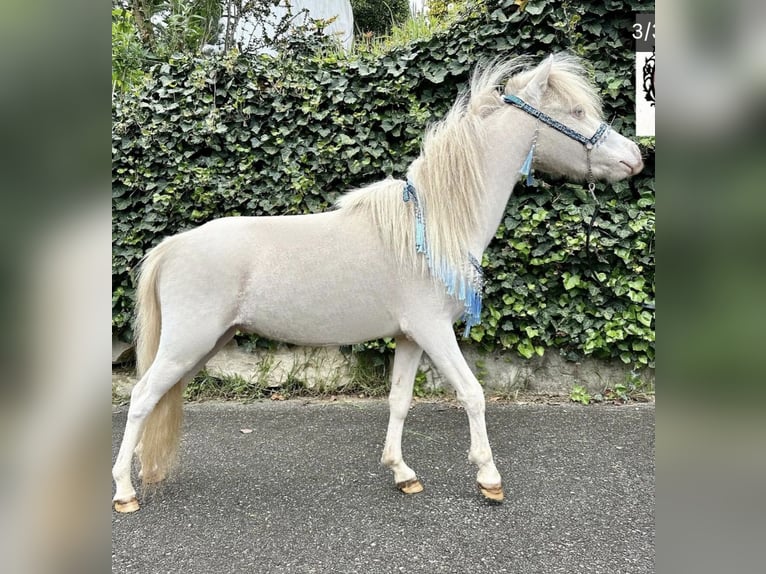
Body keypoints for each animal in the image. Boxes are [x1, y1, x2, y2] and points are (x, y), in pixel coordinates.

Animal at [112, 53, 644, 512]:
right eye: (576, 111)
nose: (635, 157)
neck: (435, 225)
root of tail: (170, 246)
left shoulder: (410, 337)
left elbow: (400, 401)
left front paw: (402, 473)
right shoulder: (434, 330)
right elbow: (472, 394)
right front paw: (489, 478)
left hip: (202, 346)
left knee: (158, 398)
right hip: (187, 343)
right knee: (140, 399)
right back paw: (124, 491)